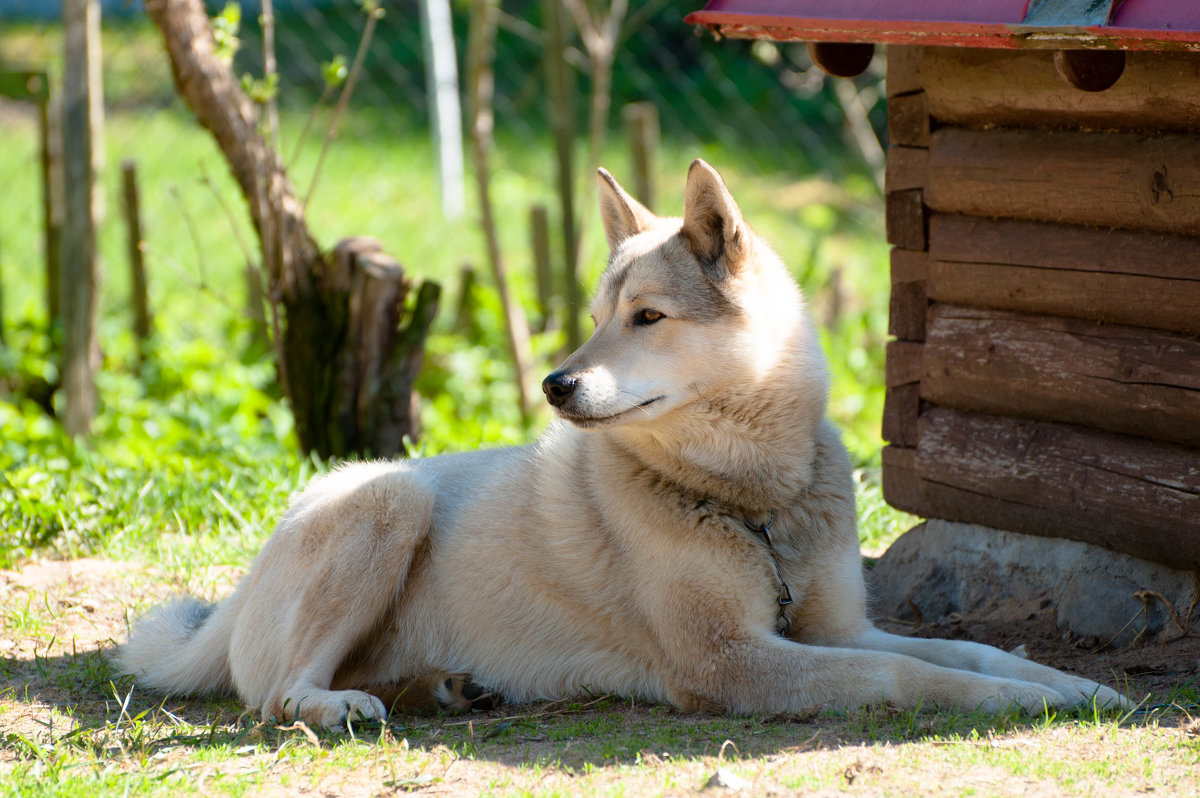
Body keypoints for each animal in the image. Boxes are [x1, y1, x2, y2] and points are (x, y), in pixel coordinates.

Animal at [117, 158, 1128, 724]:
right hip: (388, 497)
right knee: (280, 694)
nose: (555, 385)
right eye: (600, 316)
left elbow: (965, 651)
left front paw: (1070, 688)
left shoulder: (839, 625)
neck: (750, 500)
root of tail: (236, 598)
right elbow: (907, 675)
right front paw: (1012, 706)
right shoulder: (735, 665)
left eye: (646, 317)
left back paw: (445, 690)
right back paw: (347, 706)